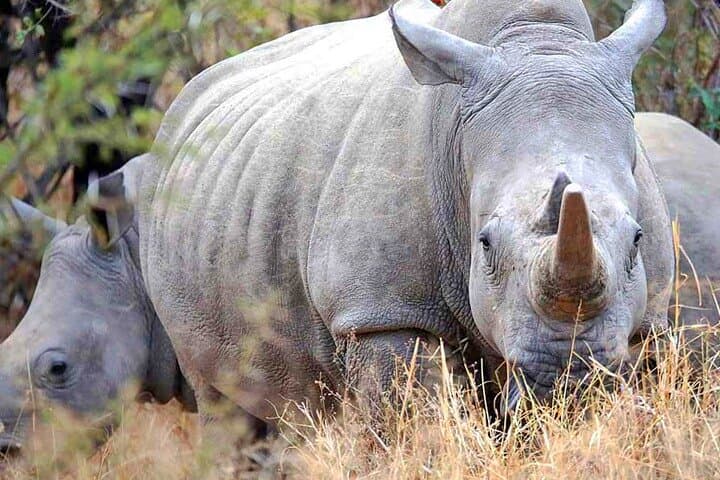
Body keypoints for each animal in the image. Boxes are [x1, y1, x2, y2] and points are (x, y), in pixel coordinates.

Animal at [0, 0, 677, 449]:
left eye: (639, 241)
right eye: (484, 245)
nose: (572, 374)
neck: (534, 44)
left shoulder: (644, 323)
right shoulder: (381, 310)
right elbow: (415, 428)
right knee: (228, 407)